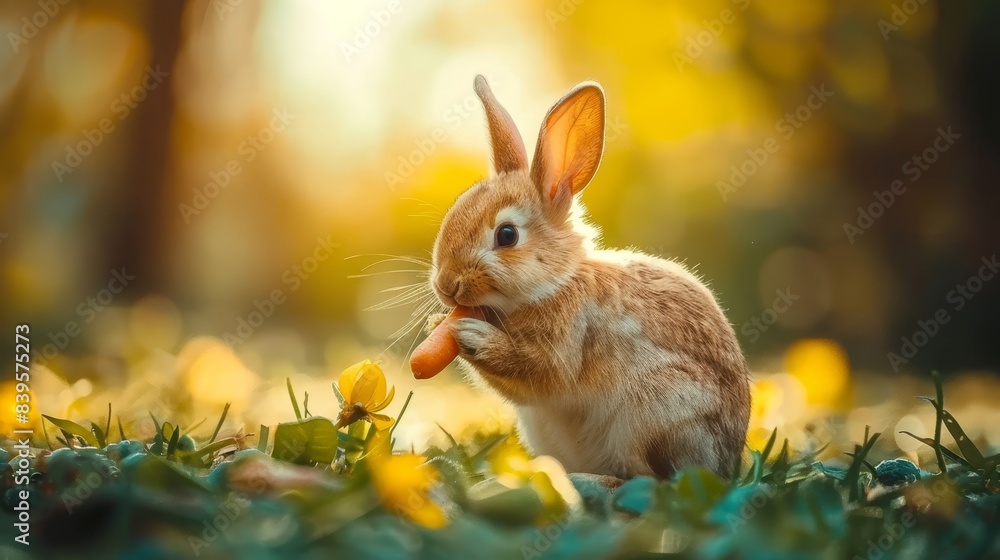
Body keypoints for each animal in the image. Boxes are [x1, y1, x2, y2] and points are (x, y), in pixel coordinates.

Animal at [425, 75, 751, 480]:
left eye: (507, 235)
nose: (446, 286)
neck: (555, 283)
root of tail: (728, 460)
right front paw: (436, 323)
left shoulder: (565, 343)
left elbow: (535, 372)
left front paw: (467, 333)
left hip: (659, 409)